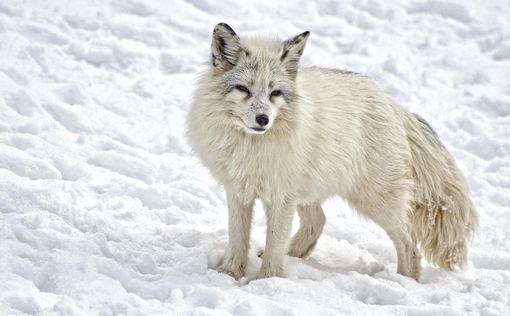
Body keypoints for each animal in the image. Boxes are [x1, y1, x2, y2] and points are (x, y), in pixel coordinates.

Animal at [187, 23, 478, 280]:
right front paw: (229, 274)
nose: (263, 119)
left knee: (409, 245)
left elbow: (274, 243)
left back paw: (406, 282)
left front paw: (267, 281)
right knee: (318, 222)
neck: (252, 147)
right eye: (244, 89)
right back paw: (293, 256)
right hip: (310, 191)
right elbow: (238, 239)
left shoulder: (281, 198)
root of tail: (393, 105)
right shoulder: (239, 191)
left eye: (275, 93)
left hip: (375, 202)